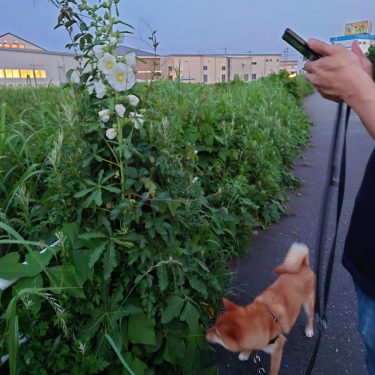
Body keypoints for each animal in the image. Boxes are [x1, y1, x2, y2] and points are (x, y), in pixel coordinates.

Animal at [207, 244, 316, 375]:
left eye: (218, 334)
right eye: (214, 326)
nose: (205, 333)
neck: (265, 319)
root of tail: (304, 264)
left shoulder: (278, 348)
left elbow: (273, 369)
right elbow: (250, 346)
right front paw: (246, 353)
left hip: (308, 305)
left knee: (311, 317)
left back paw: (309, 329)